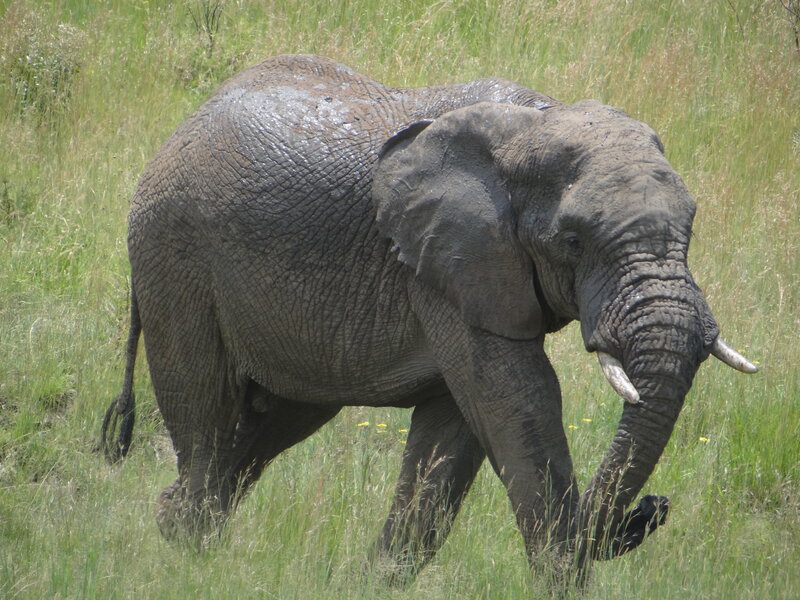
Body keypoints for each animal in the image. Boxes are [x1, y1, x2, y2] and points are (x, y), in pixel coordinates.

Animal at [100, 54, 756, 582]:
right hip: (174, 256)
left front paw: (373, 582)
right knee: (206, 412)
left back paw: (181, 531)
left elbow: (458, 425)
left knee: (273, 419)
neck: (539, 121)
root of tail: (177, 132)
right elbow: (518, 398)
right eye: (572, 240)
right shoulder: (447, 264)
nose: (653, 509)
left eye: (691, 225)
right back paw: (189, 552)